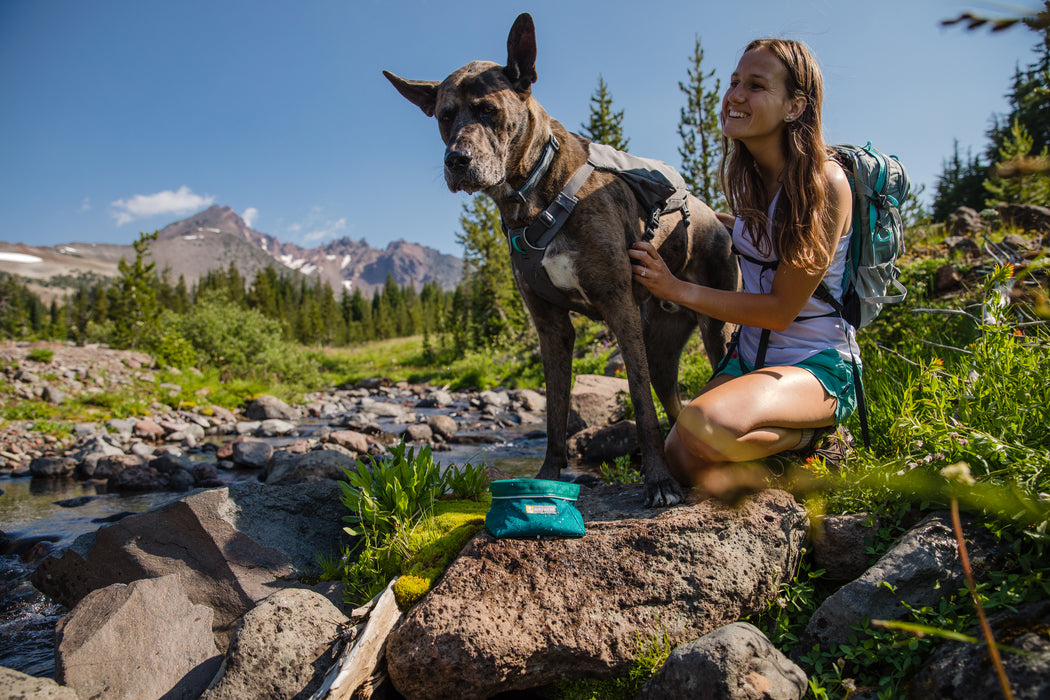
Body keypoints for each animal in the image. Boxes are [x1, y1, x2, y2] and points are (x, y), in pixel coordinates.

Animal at [382, 10, 734, 503]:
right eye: (445, 116)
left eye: (488, 110)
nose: (456, 160)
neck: (532, 195)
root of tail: (717, 217)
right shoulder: (550, 325)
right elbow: (554, 411)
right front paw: (548, 476)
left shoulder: (619, 306)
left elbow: (639, 403)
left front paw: (659, 483)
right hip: (662, 342)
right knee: (672, 394)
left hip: (714, 323)